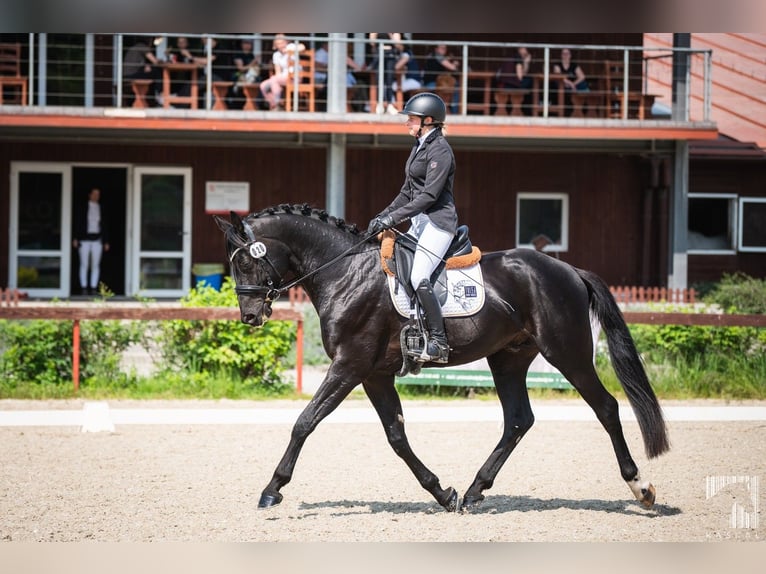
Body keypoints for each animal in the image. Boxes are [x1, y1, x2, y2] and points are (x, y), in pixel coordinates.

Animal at [213, 206, 668, 512]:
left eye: (247, 260)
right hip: (508, 359)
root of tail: (570, 270)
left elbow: (304, 422)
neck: (345, 274)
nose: (250, 317)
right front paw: (442, 492)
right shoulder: (374, 374)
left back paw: (641, 488)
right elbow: (396, 436)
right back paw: (473, 490)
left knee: (606, 407)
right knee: (518, 420)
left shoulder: (349, 365)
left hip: (568, 354)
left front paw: (272, 488)